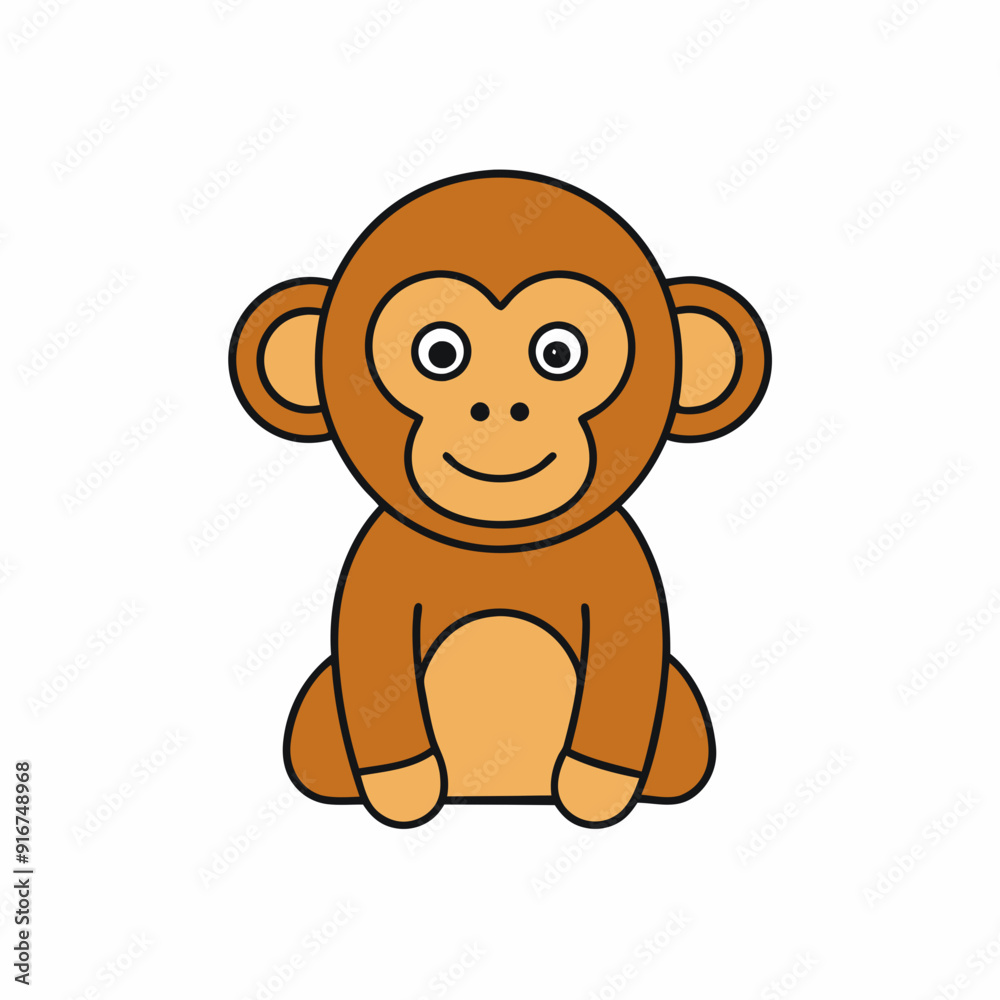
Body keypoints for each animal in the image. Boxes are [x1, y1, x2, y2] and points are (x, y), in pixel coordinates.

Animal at [229, 170, 771, 829]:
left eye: (559, 352)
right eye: (439, 352)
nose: (500, 408)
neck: (501, 549)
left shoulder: (626, 576)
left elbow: (628, 669)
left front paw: (595, 791)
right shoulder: (375, 575)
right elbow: (372, 667)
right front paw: (404, 791)